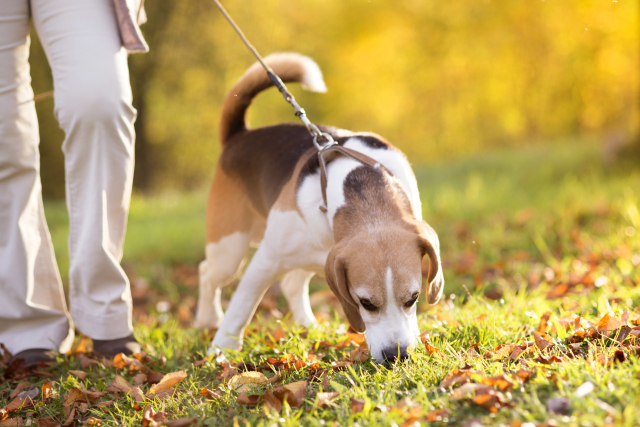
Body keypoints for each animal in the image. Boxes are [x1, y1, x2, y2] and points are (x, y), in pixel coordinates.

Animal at [195, 51, 444, 362]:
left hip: (309, 256)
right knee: (207, 273)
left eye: (413, 298)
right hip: (229, 249)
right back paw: (207, 319)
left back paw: (308, 326)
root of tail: (240, 136)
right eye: (366, 303)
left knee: (290, 284)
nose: (395, 355)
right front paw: (220, 352)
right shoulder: (265, 261)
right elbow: (241, 309)